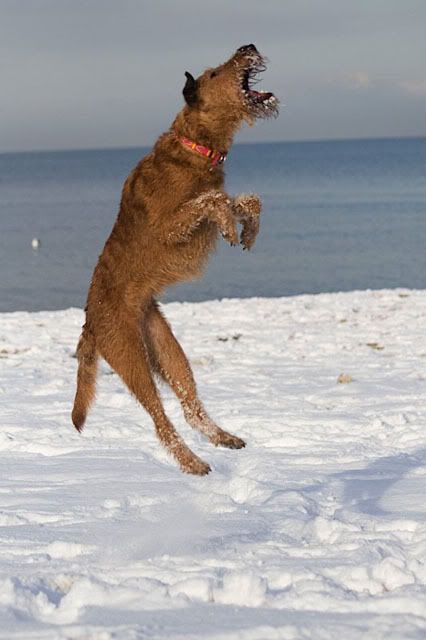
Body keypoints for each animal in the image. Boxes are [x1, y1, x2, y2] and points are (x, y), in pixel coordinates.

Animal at [72, 44, 278, 475]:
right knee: (160, 421)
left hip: (166, 348)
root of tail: (90, 320)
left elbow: (244, 200)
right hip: (131, 357)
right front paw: (231, 225)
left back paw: (222, 437)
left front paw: (247, 228)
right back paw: (192, 463)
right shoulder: (168, 226)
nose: (248, 47)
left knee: (189, 404)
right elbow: (211, 201)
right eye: (215, 72)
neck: (195, 147)